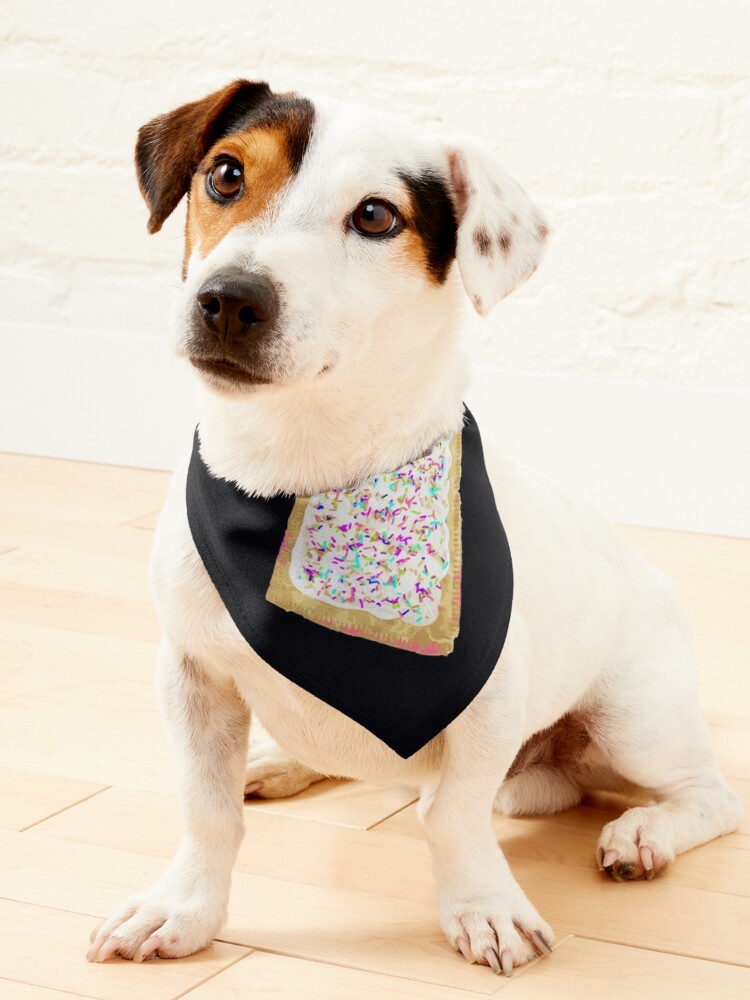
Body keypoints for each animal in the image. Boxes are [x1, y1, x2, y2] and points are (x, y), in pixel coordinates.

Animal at [85, 80, 744, 976]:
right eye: (225, 174)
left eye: (375, 216)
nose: (230, 299)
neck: (297, 472)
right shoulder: (191, 676)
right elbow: (206, 810)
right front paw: (183, 909)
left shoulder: (489, 704)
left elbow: (454, 817)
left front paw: (483, 907)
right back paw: (282, 762)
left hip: (635, 720)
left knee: (708, 796)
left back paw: (644, 833)